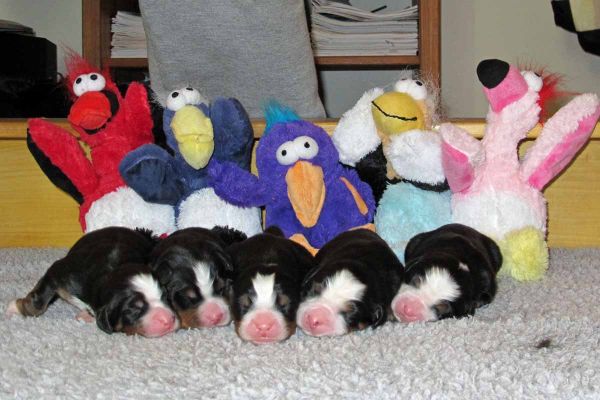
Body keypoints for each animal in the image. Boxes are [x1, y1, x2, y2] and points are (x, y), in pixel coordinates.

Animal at [5, 225, 178, 338]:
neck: (111, 271)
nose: (168, 320)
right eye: (134, 309)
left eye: (164, 296)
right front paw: (15, 307)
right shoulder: (59, 273)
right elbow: (39, 302)